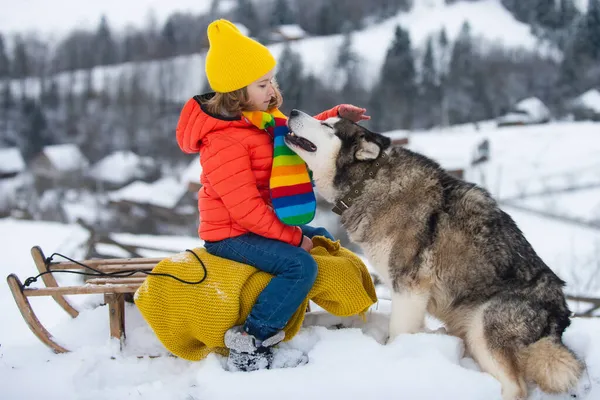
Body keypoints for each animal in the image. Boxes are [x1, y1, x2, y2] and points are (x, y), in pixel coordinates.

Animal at [286, 109, 580, 400]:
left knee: (516, 388)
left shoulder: (409, 286)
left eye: (328, 126)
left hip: (483, 330)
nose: (293, 111)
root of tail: (561, 318)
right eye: (324, 120)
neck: (368, 180)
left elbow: (398, 332)